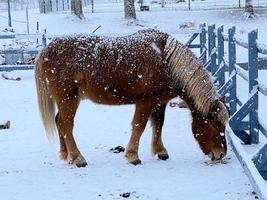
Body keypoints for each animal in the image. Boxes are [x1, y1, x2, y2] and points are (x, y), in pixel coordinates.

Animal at [34, 28, 229, 167]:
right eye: (215, 124)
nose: (220, 154)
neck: (166, 60)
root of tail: (45, 51)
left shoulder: (160, 102)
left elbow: (158, 124)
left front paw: (161, 151)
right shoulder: (145, 101)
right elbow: (139, 126)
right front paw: (132, 156)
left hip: (65, 101)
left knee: (59, 122)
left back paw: (65, 154)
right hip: (68, 99)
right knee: (66, 125)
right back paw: (77, 158)